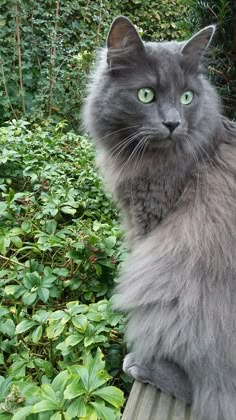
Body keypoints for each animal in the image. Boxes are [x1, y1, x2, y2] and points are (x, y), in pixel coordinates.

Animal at [83, 15, 236, 420]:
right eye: (146, 95)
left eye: (186, 97)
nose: (172, 123)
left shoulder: (149, 224)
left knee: (207, 390)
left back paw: (142, 365)